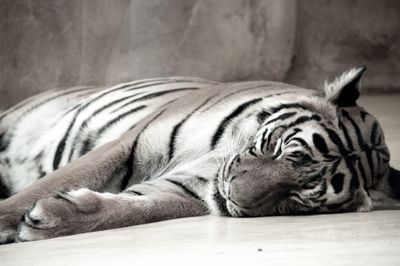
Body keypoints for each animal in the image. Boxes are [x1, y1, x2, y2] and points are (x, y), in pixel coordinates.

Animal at [0, 66, 400, 243]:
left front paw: (53, 217)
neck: (217, 157)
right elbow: (48, 184)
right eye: (276, 147)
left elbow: (136, 208)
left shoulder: (188, 190)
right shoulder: (128, 143)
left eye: (297, 198)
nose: (233, 195)